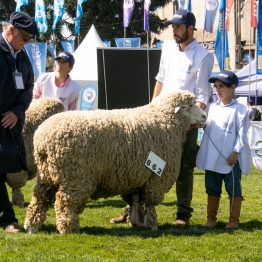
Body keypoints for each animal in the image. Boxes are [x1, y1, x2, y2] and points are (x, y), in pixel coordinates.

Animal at [23, 91, 206, 233]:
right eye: (188, 106)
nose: (205, 116)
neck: (165, 120)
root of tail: (42, 138)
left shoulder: (136, 176)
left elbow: (136, 200)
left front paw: (136, 221)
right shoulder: (156, 179)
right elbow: (150, 204)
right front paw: (152, 224)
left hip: (47, 174)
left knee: (39, 198)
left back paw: (32, 226)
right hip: (75, 176)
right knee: (64, 201)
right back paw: (69, 229)